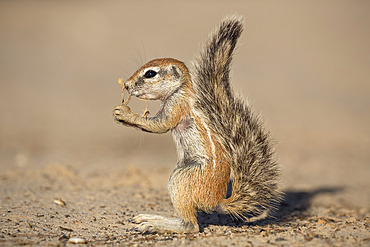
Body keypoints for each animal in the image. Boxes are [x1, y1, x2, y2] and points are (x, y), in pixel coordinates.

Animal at [112, 15, 280, 233]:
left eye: (150, 74)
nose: (127, 84)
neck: (181, 90)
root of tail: (216, 201)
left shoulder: (177, 105)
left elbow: (160, 125)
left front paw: (125, 113)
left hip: (182, 179)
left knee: (190, 225)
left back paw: (154, 224)